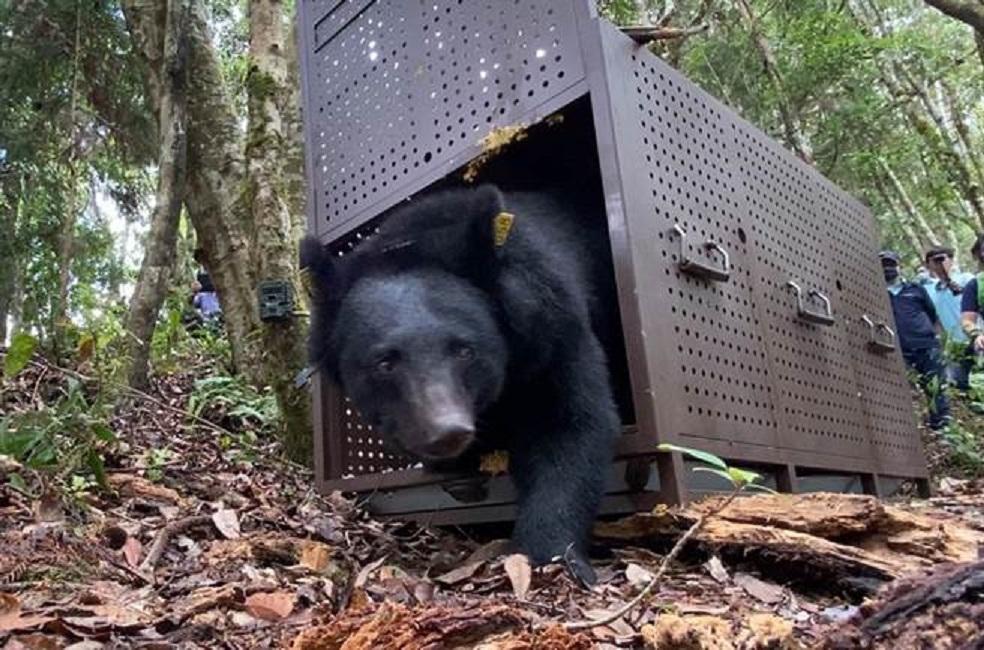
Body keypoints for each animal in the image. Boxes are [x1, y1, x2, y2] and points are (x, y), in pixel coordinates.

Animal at [300, 182, 624, 584]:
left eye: (465, 350)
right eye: (385, 362)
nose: (447, 432)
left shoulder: (553, 329)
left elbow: (569, 426)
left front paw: (548, 556)